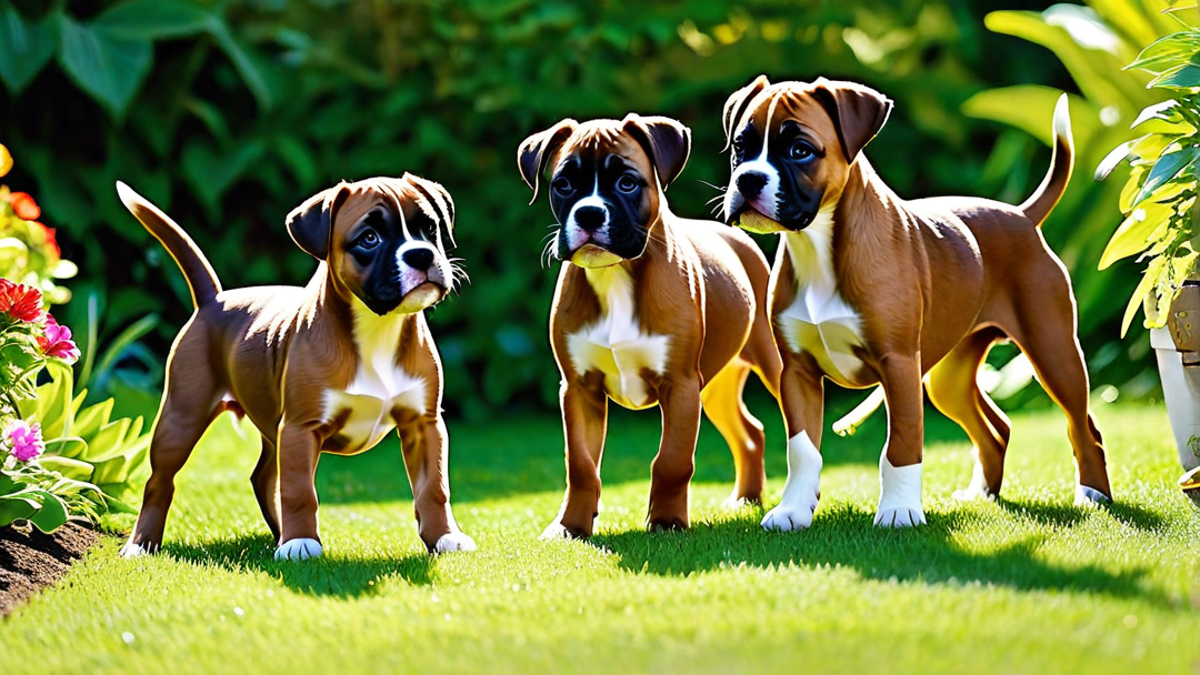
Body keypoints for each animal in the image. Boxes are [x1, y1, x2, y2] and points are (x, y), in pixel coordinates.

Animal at [114, 172, 475, 557]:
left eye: (430, 227)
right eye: (369, 238)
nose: (421, 254)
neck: (377, 326)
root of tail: (214, 299)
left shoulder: (424, 424)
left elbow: (433, 487)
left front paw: (444, 536)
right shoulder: (301, 429)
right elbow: (300, 490)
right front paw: (302, 541)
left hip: (273, 430)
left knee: (263, 477)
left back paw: (279, 534)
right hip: (181, 419)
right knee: (160, 481)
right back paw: (141, 544)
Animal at [518, 115, 782, 535]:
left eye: (627, 183)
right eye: (563, 185)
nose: (589, 213)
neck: (615, 275)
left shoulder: (680, 385)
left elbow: (672, 460)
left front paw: (667, 521)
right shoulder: (578, 389)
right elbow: (581, 465)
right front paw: (570, 527)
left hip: (771, 365)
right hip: (716, 387)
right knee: (752, 432)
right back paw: (745, 500)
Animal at [715, 76, 1108, 528]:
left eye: (800, 150)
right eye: (740, 146)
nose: (748, 179)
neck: (819, 246)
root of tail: (1022, 215)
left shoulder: (898, 364)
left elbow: (901, 445)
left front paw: (899, 511)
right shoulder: (797, 371)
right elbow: (802, 450)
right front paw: (793, 510)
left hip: (1053, 352)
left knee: (1084, 426)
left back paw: (1093, 494)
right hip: (948, 379)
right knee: (996, 427)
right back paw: (980, 494)